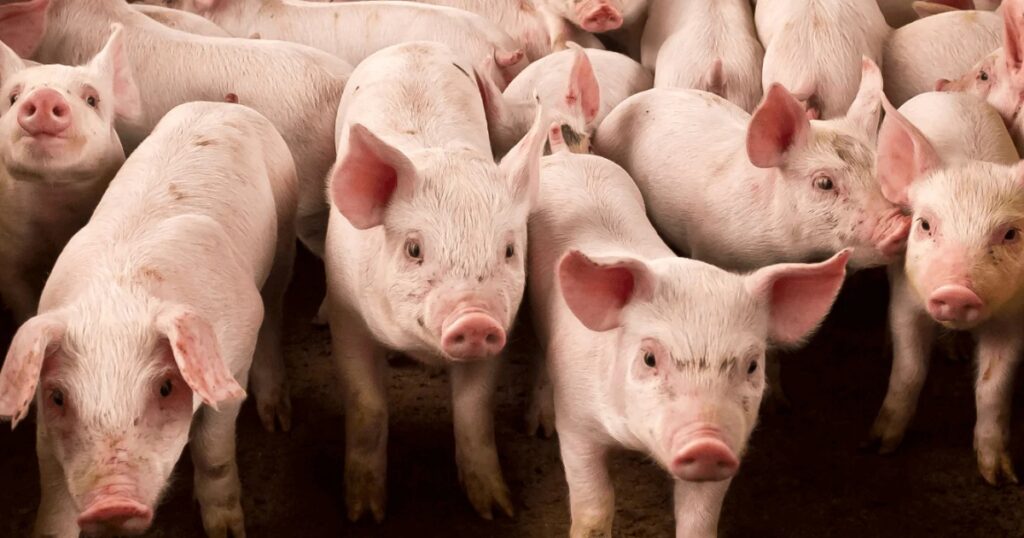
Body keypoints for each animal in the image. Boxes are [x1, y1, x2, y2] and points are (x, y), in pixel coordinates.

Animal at [0, 100, 298, 538]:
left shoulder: (233, 363)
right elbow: (53, 499)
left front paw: (227, 530)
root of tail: (222, 104)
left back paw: (278, 420)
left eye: (165, 388)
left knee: (275, 309)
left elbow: (213, 452)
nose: (111, 503)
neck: (119, 301)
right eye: (57, 397)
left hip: (285, 230)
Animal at [324, 41, 547, 522]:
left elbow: (473, 412)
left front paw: (497, 510)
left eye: (508, 250)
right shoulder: (345, 313)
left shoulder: (504, 328)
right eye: (413, 249)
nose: (475, 319)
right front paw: (365, 515)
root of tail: (415, 44)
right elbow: (367, 405)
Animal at [528, 137, 849, 537]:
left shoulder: (733, 443)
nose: (708, 444)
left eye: (752, 365)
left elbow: (700, 519)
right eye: (649, 358)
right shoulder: (575, 424)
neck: (632, 439)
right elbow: (594, 507)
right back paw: (537, 426)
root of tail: (565, 154)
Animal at [868, 92, 1024, 486]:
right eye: (925, 224)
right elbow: (909, 370)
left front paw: (998, 477)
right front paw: (879, 446)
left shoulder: (1014, 316)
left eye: (1009, 234)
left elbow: (993, 386)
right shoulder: (908, 299)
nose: (956, 292)